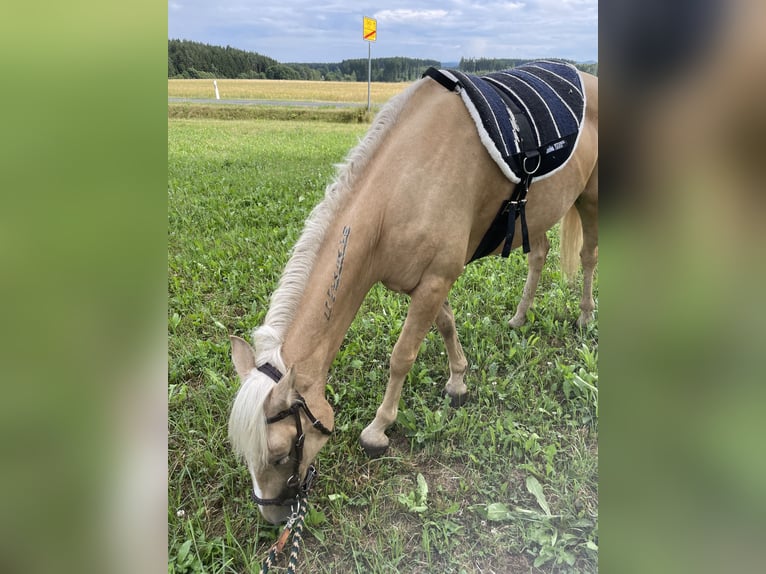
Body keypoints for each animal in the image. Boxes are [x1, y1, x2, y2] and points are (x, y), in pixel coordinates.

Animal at [228, 68, 598, 524]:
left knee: (588, 256)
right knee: (540, 254)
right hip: (538, 213)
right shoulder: (426, 283)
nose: (274, 518)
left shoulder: (437, 278)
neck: (405, 184)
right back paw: (519, 317)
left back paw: (585, 316)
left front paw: (378, 430)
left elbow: (402, 356)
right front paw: (458, 380)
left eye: (281, 453)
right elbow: (446, 324)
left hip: (591, 199)